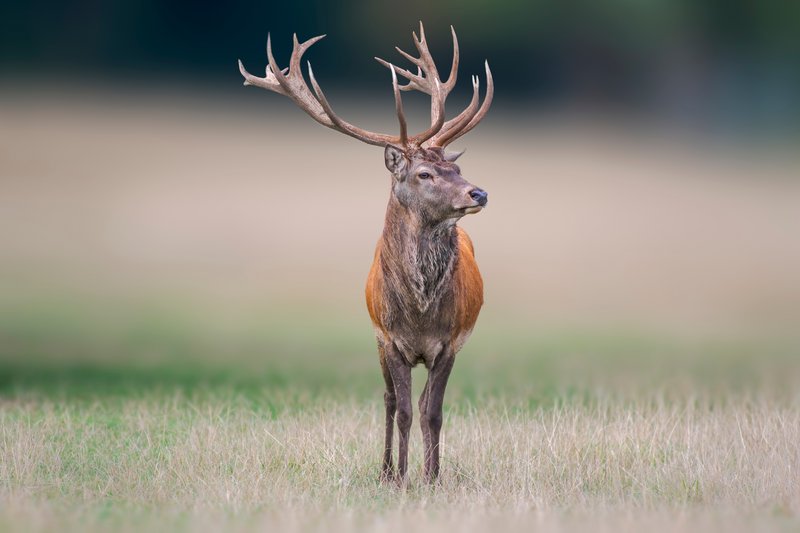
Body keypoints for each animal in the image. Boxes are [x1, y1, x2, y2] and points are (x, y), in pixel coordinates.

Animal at [238, 22, 493, 484]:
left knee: (422, 403)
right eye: (424, 173)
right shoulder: (389, 338)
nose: (478, 193)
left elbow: (433, 412)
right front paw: (403, 477)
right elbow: (404, 410)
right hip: (377, 339)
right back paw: (387, 470)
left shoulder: (449, 343)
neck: (419, 312)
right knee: (390, 401)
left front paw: (432, 477)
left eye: (457, 169)